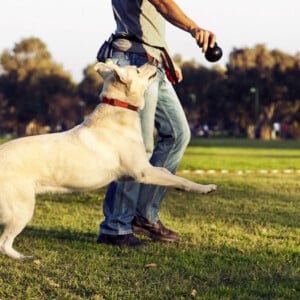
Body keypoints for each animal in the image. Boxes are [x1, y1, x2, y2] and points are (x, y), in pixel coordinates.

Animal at [0, 61, 216, 258]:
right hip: (22, 208)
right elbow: (179, 179)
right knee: (4, 243)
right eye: (137, 69)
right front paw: (204, 188)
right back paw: (22, 257)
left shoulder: (144, 169)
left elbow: (170, 173)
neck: (119, 109)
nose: (154, 61)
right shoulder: (143, 172)